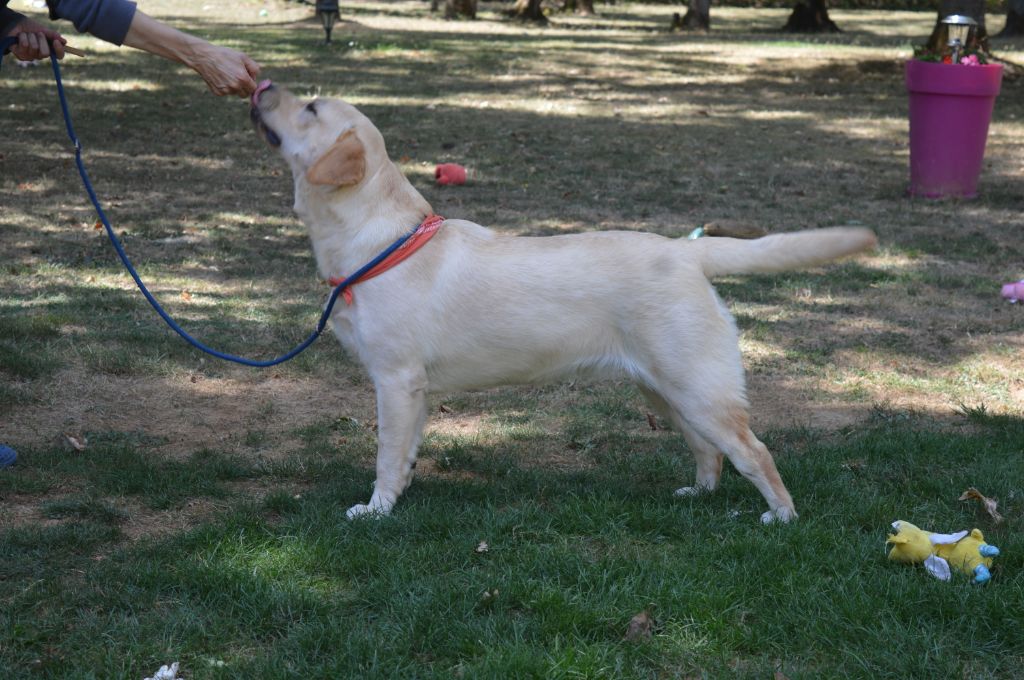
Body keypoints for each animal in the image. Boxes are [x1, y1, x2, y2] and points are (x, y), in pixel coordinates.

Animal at [251, 82, 876, 522]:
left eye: (310, 107)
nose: (262, 84)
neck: (377, 239)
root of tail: (684, 250)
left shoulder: (396, 380)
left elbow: (384, 455)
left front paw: (376, 511)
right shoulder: (415, 391)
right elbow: (404, 454)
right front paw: (399, 495)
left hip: (698, 387)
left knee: (754, 450)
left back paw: (782, 516)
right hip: (666, 388)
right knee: (710, 452)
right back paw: (697, 494)